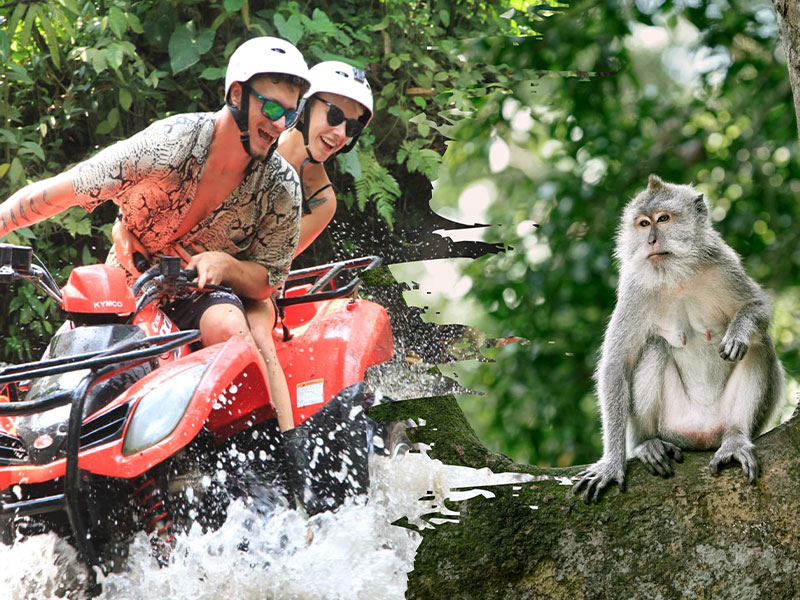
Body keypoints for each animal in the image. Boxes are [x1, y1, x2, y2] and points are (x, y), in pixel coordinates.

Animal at [573, 175, 784, 503]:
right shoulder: (635, 288)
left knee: (759, 345)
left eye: (663, 219)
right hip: (674, 424)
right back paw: (647, 443)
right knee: (654, 347)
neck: (677, 276)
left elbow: (757, 306)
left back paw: (735, 438)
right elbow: (616, 366)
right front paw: (611, 462)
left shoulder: (723, 264)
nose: (651, 241)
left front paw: (738, 332)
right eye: (643, 224)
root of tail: (702, 435)